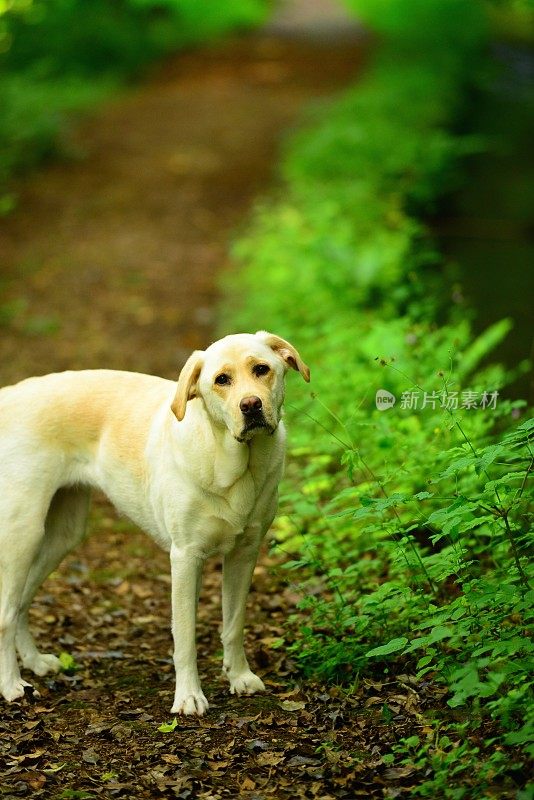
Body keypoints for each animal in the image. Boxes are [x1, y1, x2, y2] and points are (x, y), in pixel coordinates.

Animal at [0, 328, 310, 716]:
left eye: (262, 369)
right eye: (221, 380)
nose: (251, 405)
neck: (234, 463)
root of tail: (10, 393)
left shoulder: (244, 553)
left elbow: (234, 623)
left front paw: (239, 676)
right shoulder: (185, 557)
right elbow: (186, 638)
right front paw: (189, 697)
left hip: (62, 536)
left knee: (21, 603)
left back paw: (35, 662)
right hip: (22, 532)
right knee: (6, 613)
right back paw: (12, 684)